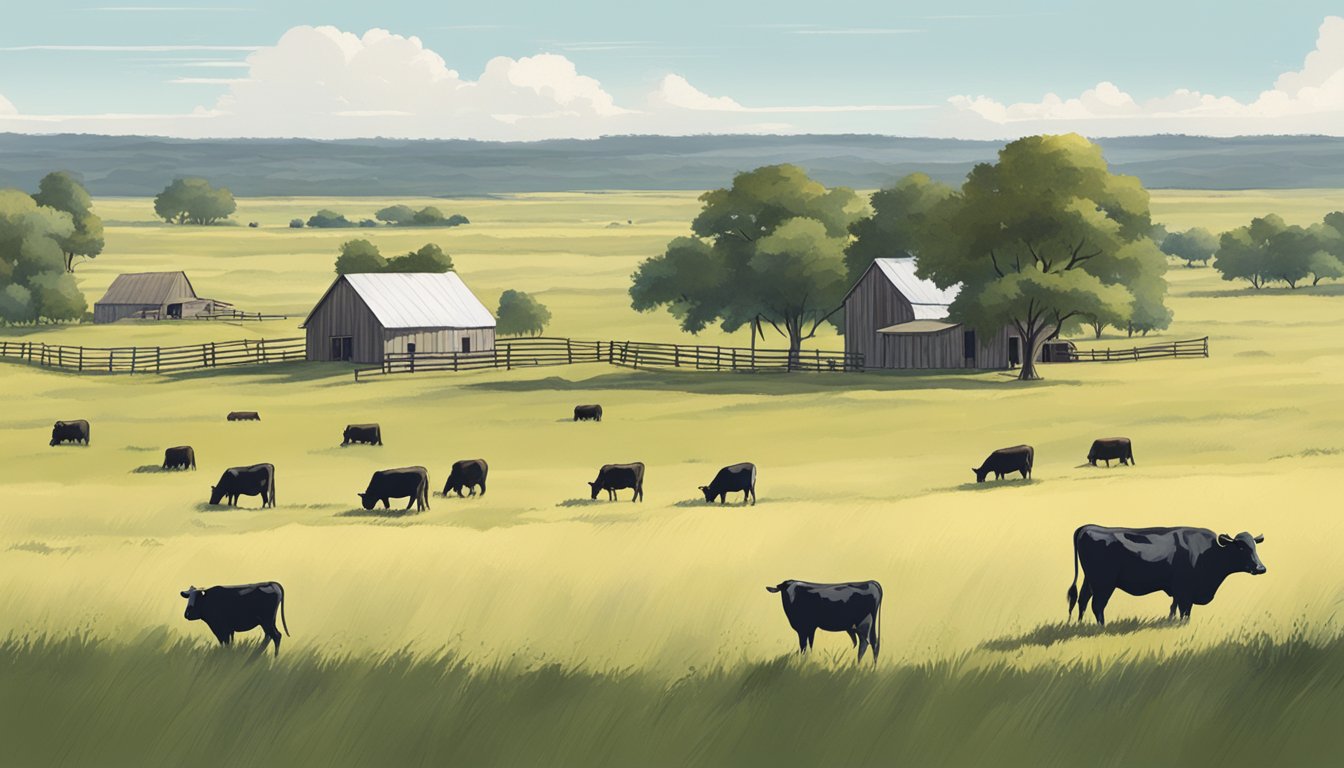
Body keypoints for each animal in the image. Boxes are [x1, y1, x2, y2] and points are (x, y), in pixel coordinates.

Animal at [1064, 521, 1263, 624]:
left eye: (1255, 546)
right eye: (1240, 547)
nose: (1261, 568)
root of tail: (1088, 527)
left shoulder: (1177, 590)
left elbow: (1173, 608)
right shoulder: (1185, 590)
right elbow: (1185, 611)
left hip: (1090, 580)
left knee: (1082, 600)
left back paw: (1080, 624)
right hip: (1104, 583)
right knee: (1097, 605)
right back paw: (1101, 628)